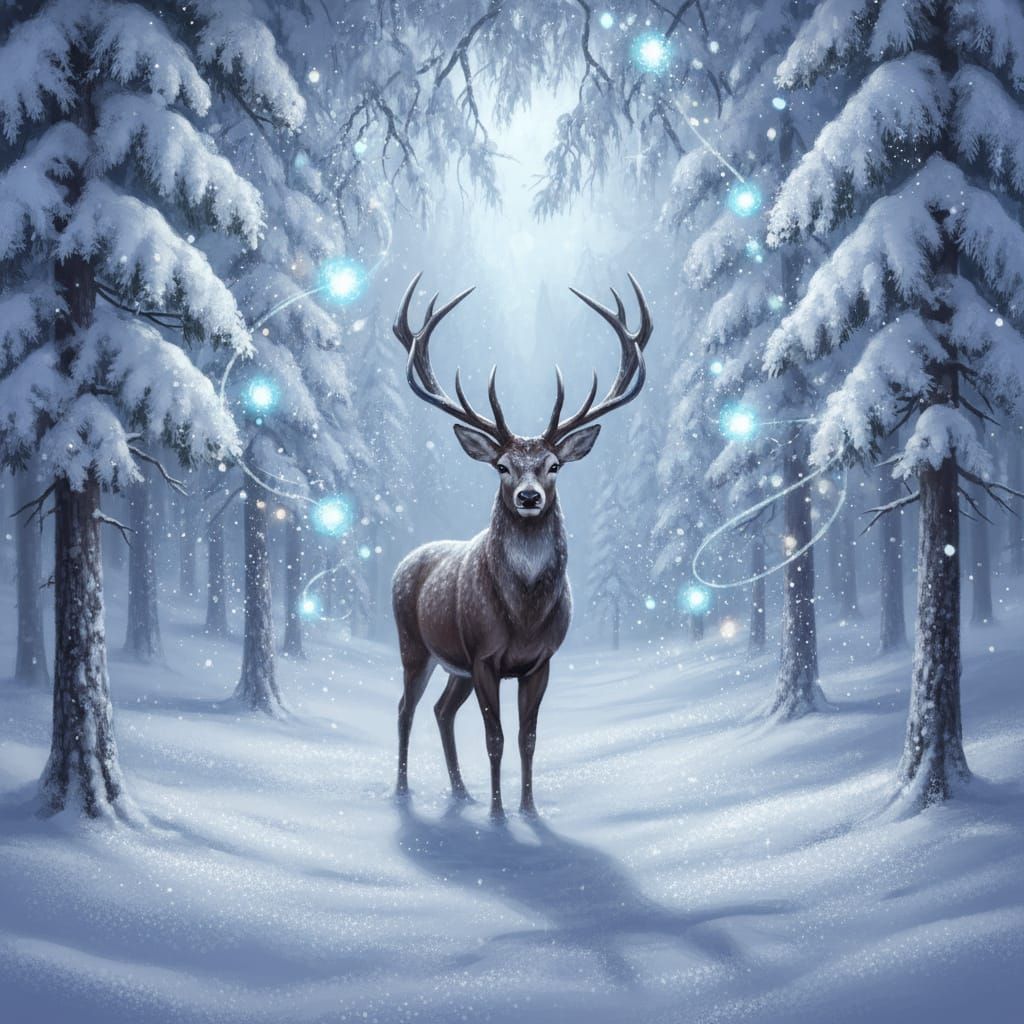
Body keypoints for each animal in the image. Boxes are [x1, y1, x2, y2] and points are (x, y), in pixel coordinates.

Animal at [390, 272, 652, 820]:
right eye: (501, 466)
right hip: (414, 645)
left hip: (454, 664)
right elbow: (495, 739)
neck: (524, 616)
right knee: (405, 708)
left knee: (440, 710)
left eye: (554, 465)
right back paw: (404, 791)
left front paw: (529, 809)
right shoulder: (484, 655)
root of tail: (405, 561)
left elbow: (529, 738)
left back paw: (461, 792)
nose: (528, 497)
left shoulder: (540, 660)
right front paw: (497, 815)